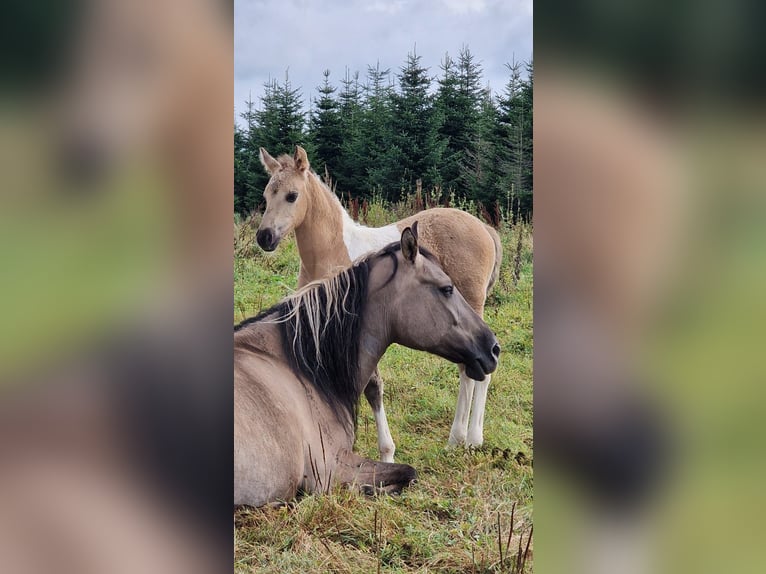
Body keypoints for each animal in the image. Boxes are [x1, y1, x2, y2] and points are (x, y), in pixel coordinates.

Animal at [256, 148, 504, 464]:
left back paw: (467, 439)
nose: (264, 237)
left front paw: (387, 454)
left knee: (473, 369)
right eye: (266, 195)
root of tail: (484, 228)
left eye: (292, 195)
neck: (332, 251)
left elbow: (372, 386)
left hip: (470, 305)